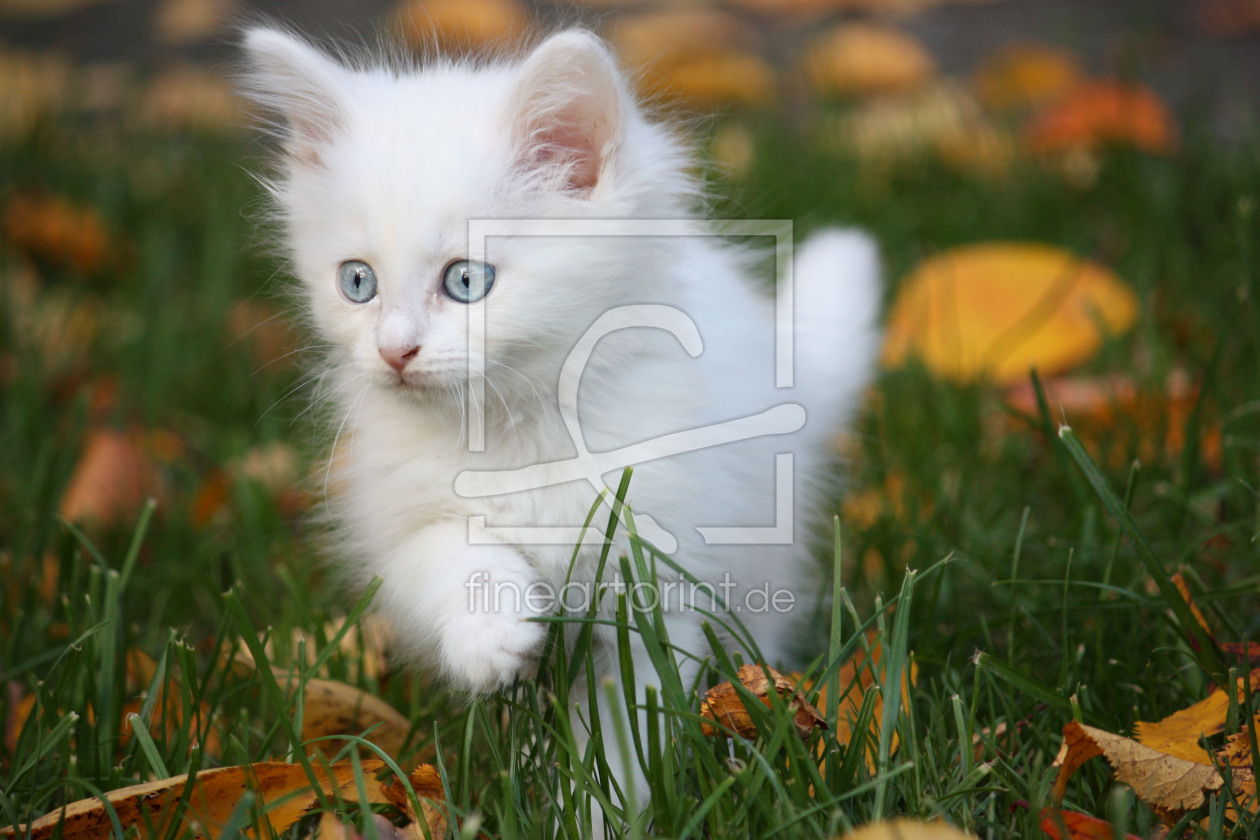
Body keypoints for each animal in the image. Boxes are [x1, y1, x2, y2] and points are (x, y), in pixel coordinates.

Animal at [240, 26, 882, 811]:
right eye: (356, 282)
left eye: (466, 280)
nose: (394, 352)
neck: (517, 430)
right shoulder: (400, 517)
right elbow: (442, 551)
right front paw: (490, 635)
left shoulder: (659, 577)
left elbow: (627, 716)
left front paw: (605, 804)